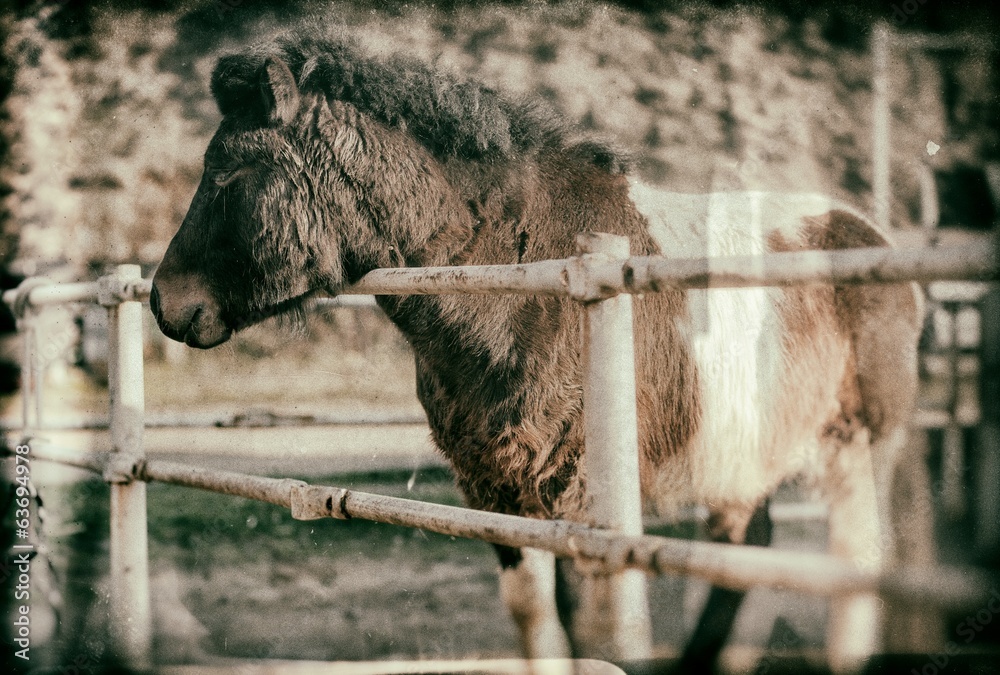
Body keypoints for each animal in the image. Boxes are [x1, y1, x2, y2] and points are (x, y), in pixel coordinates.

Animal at [148, 33, 920, 672]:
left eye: (228, 174)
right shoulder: (495, 489)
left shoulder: (574, 494)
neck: (516, 286)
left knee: (855, 572)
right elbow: (535, 621)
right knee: (747, 554)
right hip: (742, 457)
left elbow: (584, 630)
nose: (162, 301)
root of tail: (870, 234)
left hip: (856, 452)